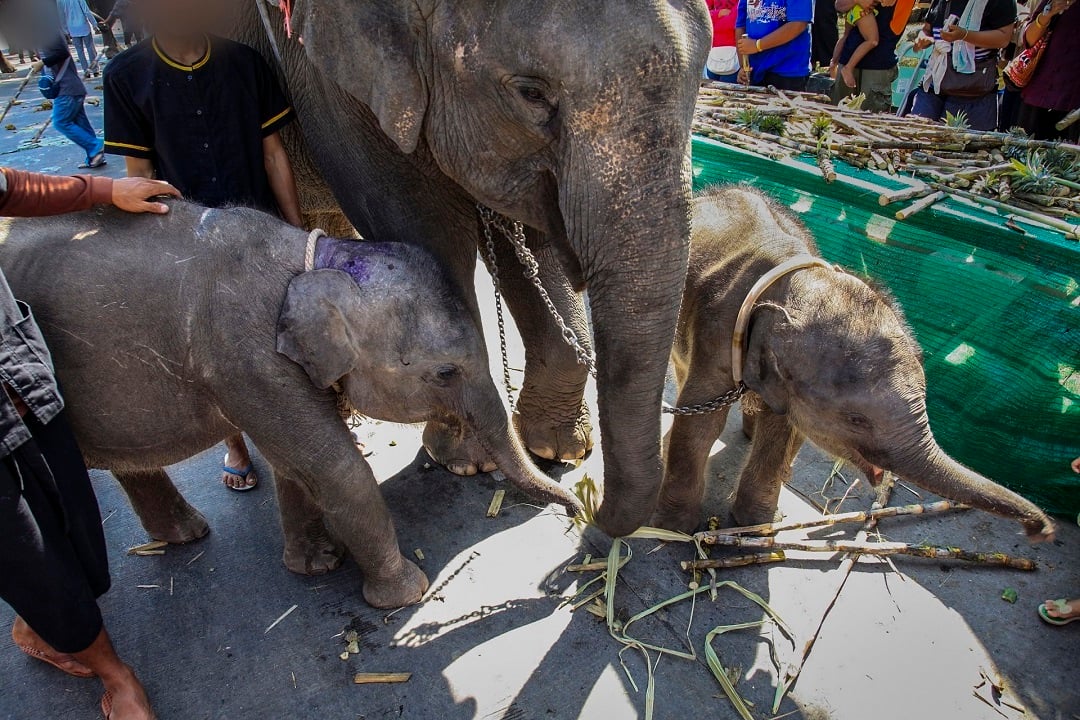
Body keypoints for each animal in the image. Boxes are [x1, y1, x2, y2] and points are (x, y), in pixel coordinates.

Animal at [0, 201, 583, 608]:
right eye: (445, 372)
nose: (577, 508)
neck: (312, 261)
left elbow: (295, 464)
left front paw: (318, 565)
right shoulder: (246, 358)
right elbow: (331, 465)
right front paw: (404, 594)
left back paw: (185, 535)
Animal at [236, 0, 712, 537]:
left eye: (701, 84)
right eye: (531, 93)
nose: (588, 510)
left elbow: (531, 239)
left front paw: (557, 449)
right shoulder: (331, 79)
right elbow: (422, 222)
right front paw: (464, 461)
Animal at [648, 188, 1054, 544]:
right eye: (856, 420)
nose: (1041, 531)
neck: (797, 280)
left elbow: (783, 429)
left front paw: (756, 526)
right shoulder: (718, 332)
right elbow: (702, 425)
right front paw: (673, 529)